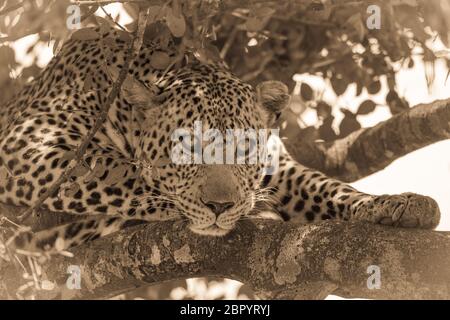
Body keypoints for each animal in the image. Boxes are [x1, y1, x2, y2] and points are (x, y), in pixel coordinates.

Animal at [0, 27, 442, 252]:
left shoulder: (279, 168)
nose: (219, 206)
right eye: (185, 150)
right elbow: (121, 171)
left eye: (243, 150)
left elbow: (328, 187)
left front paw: (395, 203)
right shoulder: (27, 143)